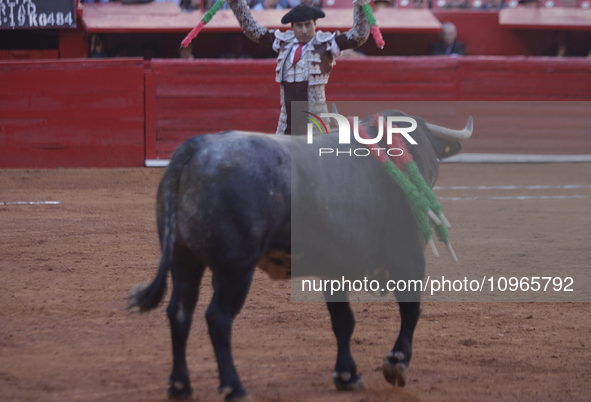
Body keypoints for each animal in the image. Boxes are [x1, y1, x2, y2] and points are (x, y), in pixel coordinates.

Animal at [128, 109, 472, 398]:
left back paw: (180, 385)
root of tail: (195, 148)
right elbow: (411, 311)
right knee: (218, 318)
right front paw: (397, 363)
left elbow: (343, 321)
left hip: (184, 259)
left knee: (179, 312)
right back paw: (234, 388)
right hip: (235, 267)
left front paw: (347, 376)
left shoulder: (335, 269)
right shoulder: (410, 257)